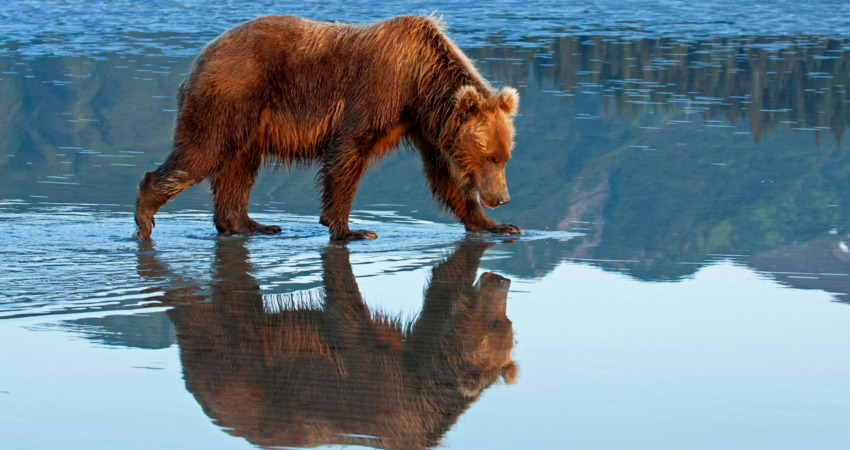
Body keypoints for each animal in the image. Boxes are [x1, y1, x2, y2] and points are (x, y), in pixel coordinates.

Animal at [133, 14, 520, 241]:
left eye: (505, 157)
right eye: (490, 156)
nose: (502, 198)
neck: (420, 81)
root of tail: (203, 54)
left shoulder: (423, 124)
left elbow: (445, 177)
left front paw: (497, 225)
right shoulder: (378, 91)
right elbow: (348, 152)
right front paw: (350, 229)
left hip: (250, 122)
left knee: (238, 169)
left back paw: (253, 224)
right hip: (231, 96)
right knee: (202, 152)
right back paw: (146, 215)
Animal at [137, 237, 516, 448]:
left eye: (508, 324)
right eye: (496, 324)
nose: (503, 281)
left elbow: (441, 288)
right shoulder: (378, 376)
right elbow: (347, 316)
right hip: (236, 362)